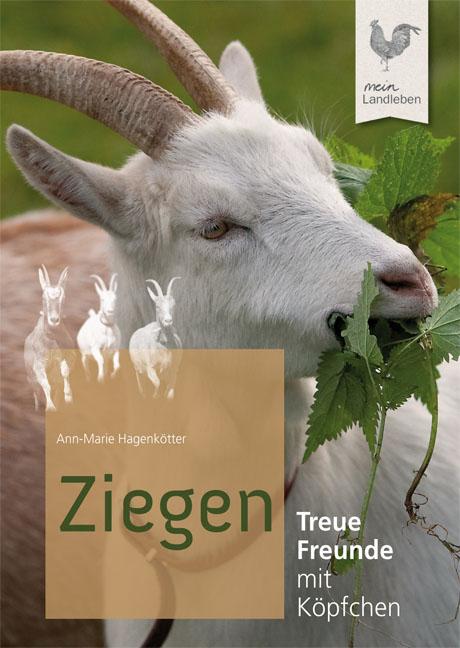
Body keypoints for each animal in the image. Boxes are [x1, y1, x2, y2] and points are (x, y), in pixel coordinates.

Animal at [23, 265, 72, 411]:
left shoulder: (64, 357)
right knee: (36, 391)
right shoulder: (38, 364)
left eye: (63, 297)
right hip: (31, 378)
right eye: (43, 297)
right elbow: (46, 384)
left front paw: (68, 396)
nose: (54, 319)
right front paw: (51, 408)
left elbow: (65, 371)